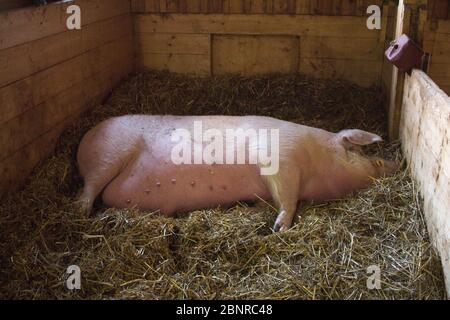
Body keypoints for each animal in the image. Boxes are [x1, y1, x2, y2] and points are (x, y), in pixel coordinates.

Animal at [76, 115, 398, 230]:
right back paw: (84, 215)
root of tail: (84, 141)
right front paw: (279, 227)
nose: (393, 165)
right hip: (107, 157)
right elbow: (288, 197)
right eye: (366, 155)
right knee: (87, 192)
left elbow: (273, 200)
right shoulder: (280, 158)